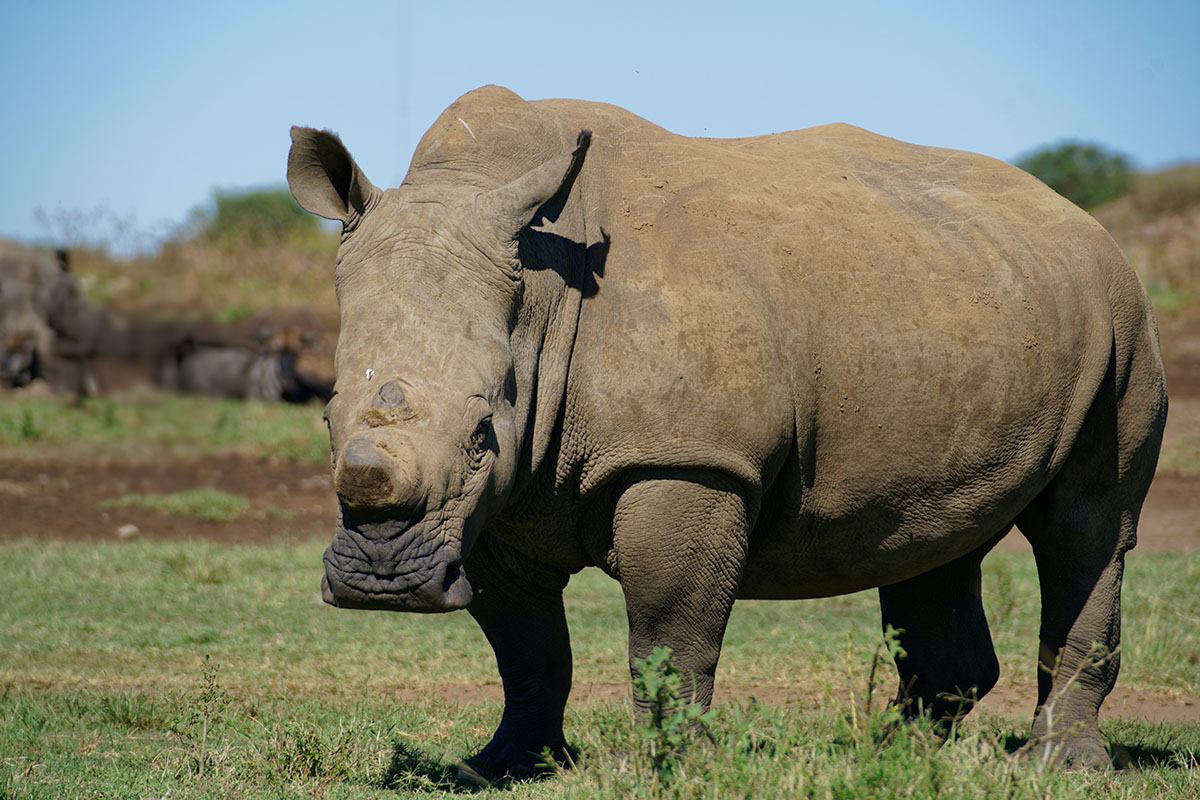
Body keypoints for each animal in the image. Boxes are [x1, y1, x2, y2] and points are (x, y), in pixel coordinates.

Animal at [287, 86, 1167, 777]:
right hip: (966, 298)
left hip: (1122, 316)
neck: (539, 296)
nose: (383, 580)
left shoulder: (688, 459)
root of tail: (1081, 217)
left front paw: (674, 768)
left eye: (480, 432)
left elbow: (670, 632)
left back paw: (1058, 766)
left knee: (1087, 527)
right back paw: (895, 756)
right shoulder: (496, 504)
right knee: (932, 528)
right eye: (325, 418)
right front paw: (504, 766)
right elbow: (526, 648)